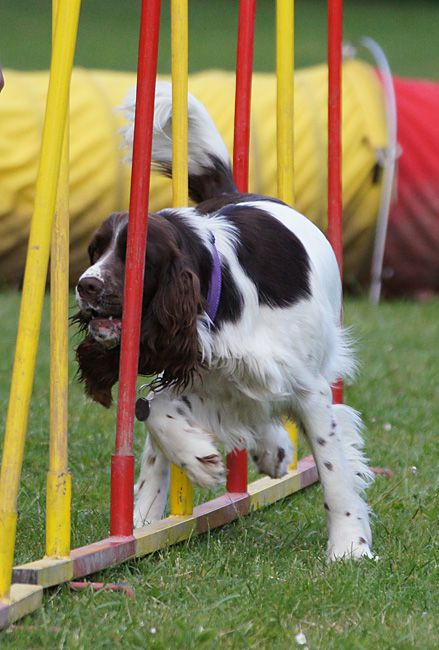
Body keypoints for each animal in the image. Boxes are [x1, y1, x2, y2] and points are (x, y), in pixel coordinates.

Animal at [75, 81, 374, 556]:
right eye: (94, 250)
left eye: (136, 258)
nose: (84, 286)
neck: (220, 295)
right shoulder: (198, 368)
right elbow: (155, 411)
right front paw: (198, 460)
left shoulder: (306, 385)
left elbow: (333, 470)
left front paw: (350, 547)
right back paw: (142, 522)